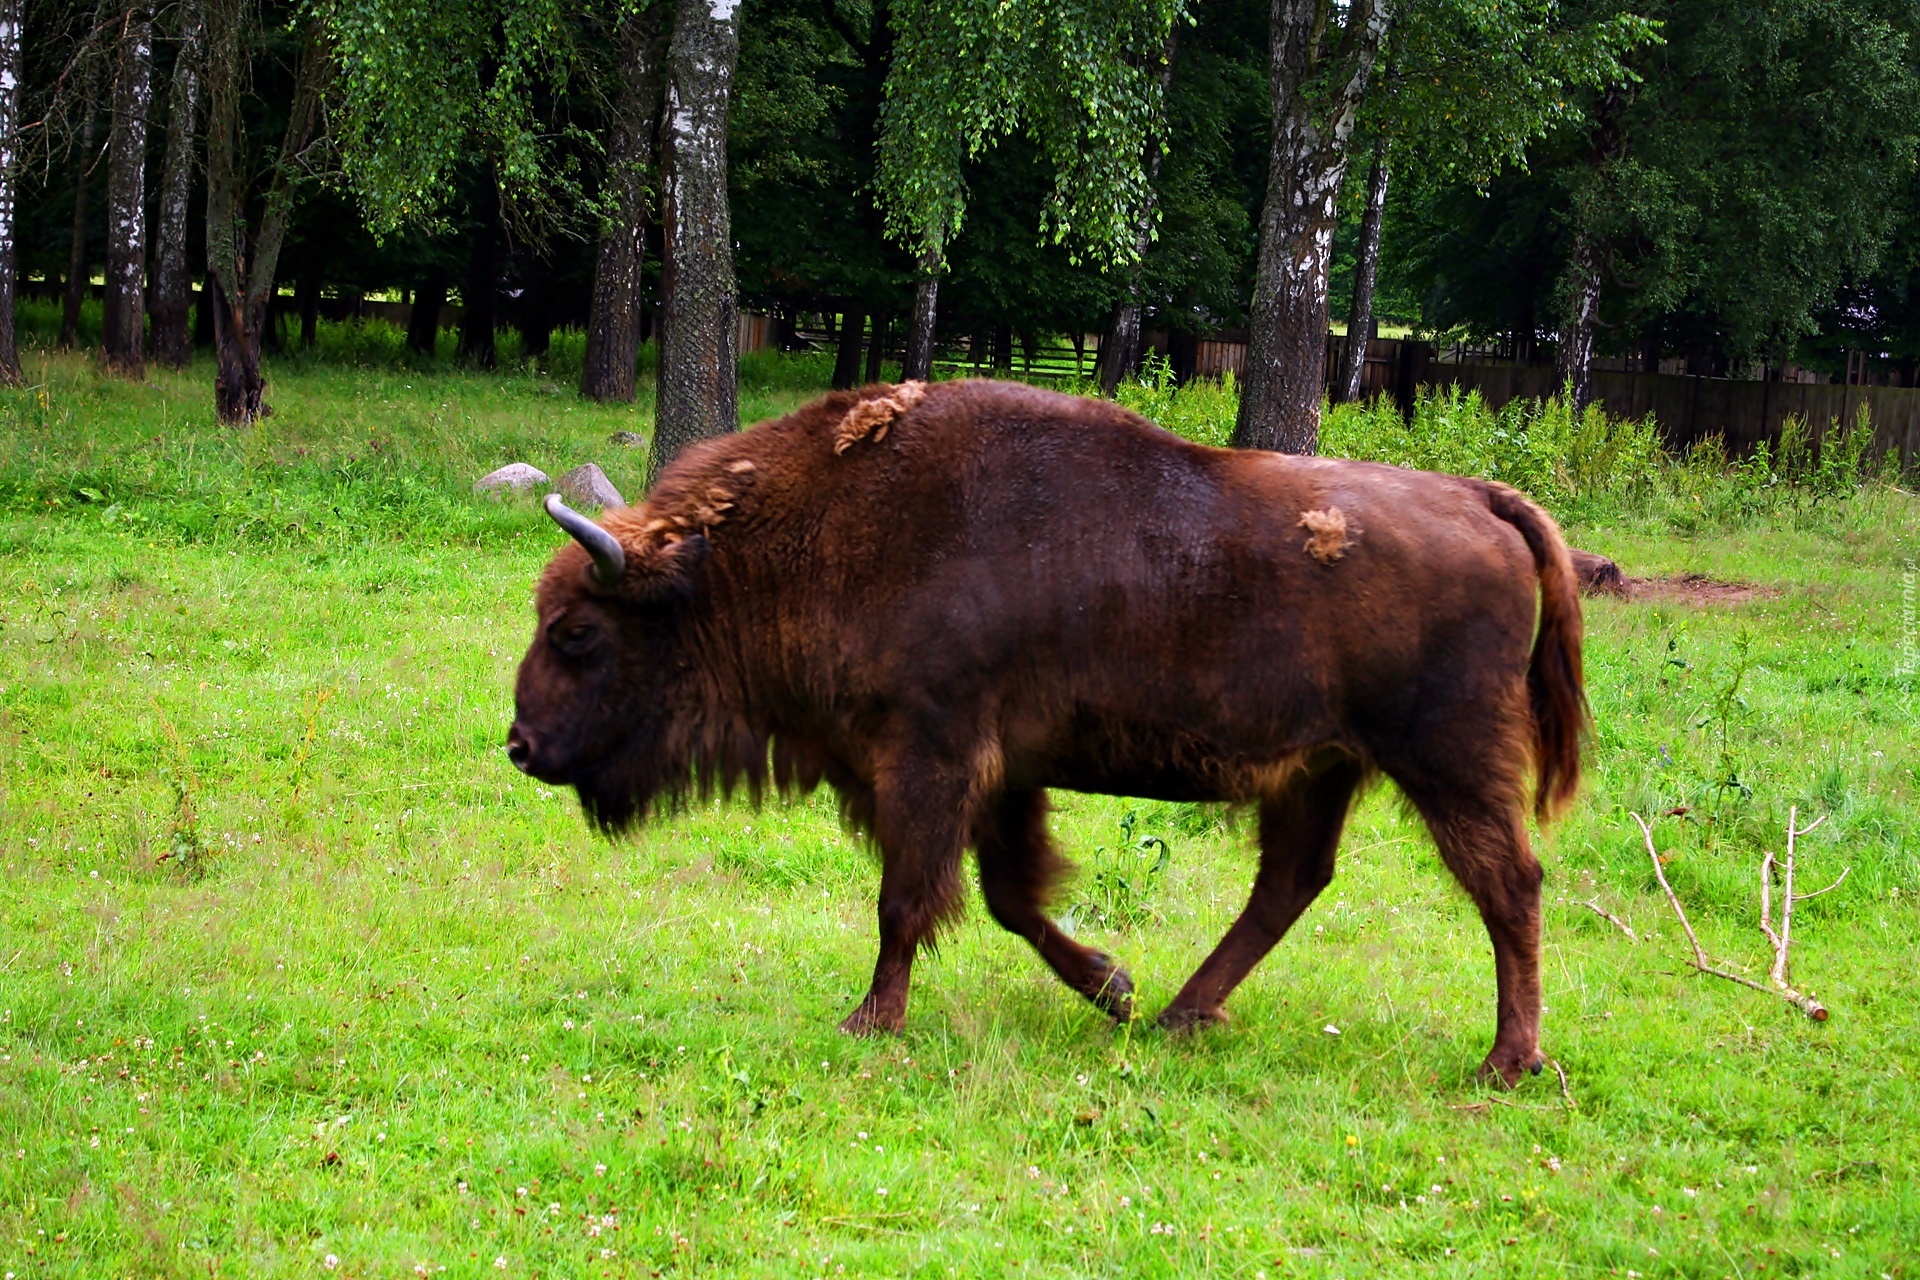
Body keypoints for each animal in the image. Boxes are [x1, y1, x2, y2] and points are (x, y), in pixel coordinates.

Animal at [503, 378, 1582, 1082]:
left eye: (578, 632)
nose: (519, 744)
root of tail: (1480, 498)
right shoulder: (1001, 776)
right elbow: (1009, 897)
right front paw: (1113, 985)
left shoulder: (929, 759)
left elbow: (908, 900)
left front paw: (870, 1021)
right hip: (1322, 768)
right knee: (1291, 883)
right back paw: (1181, 1013)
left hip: (1448, 763)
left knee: (1508, 885)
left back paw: (1506, 1061)